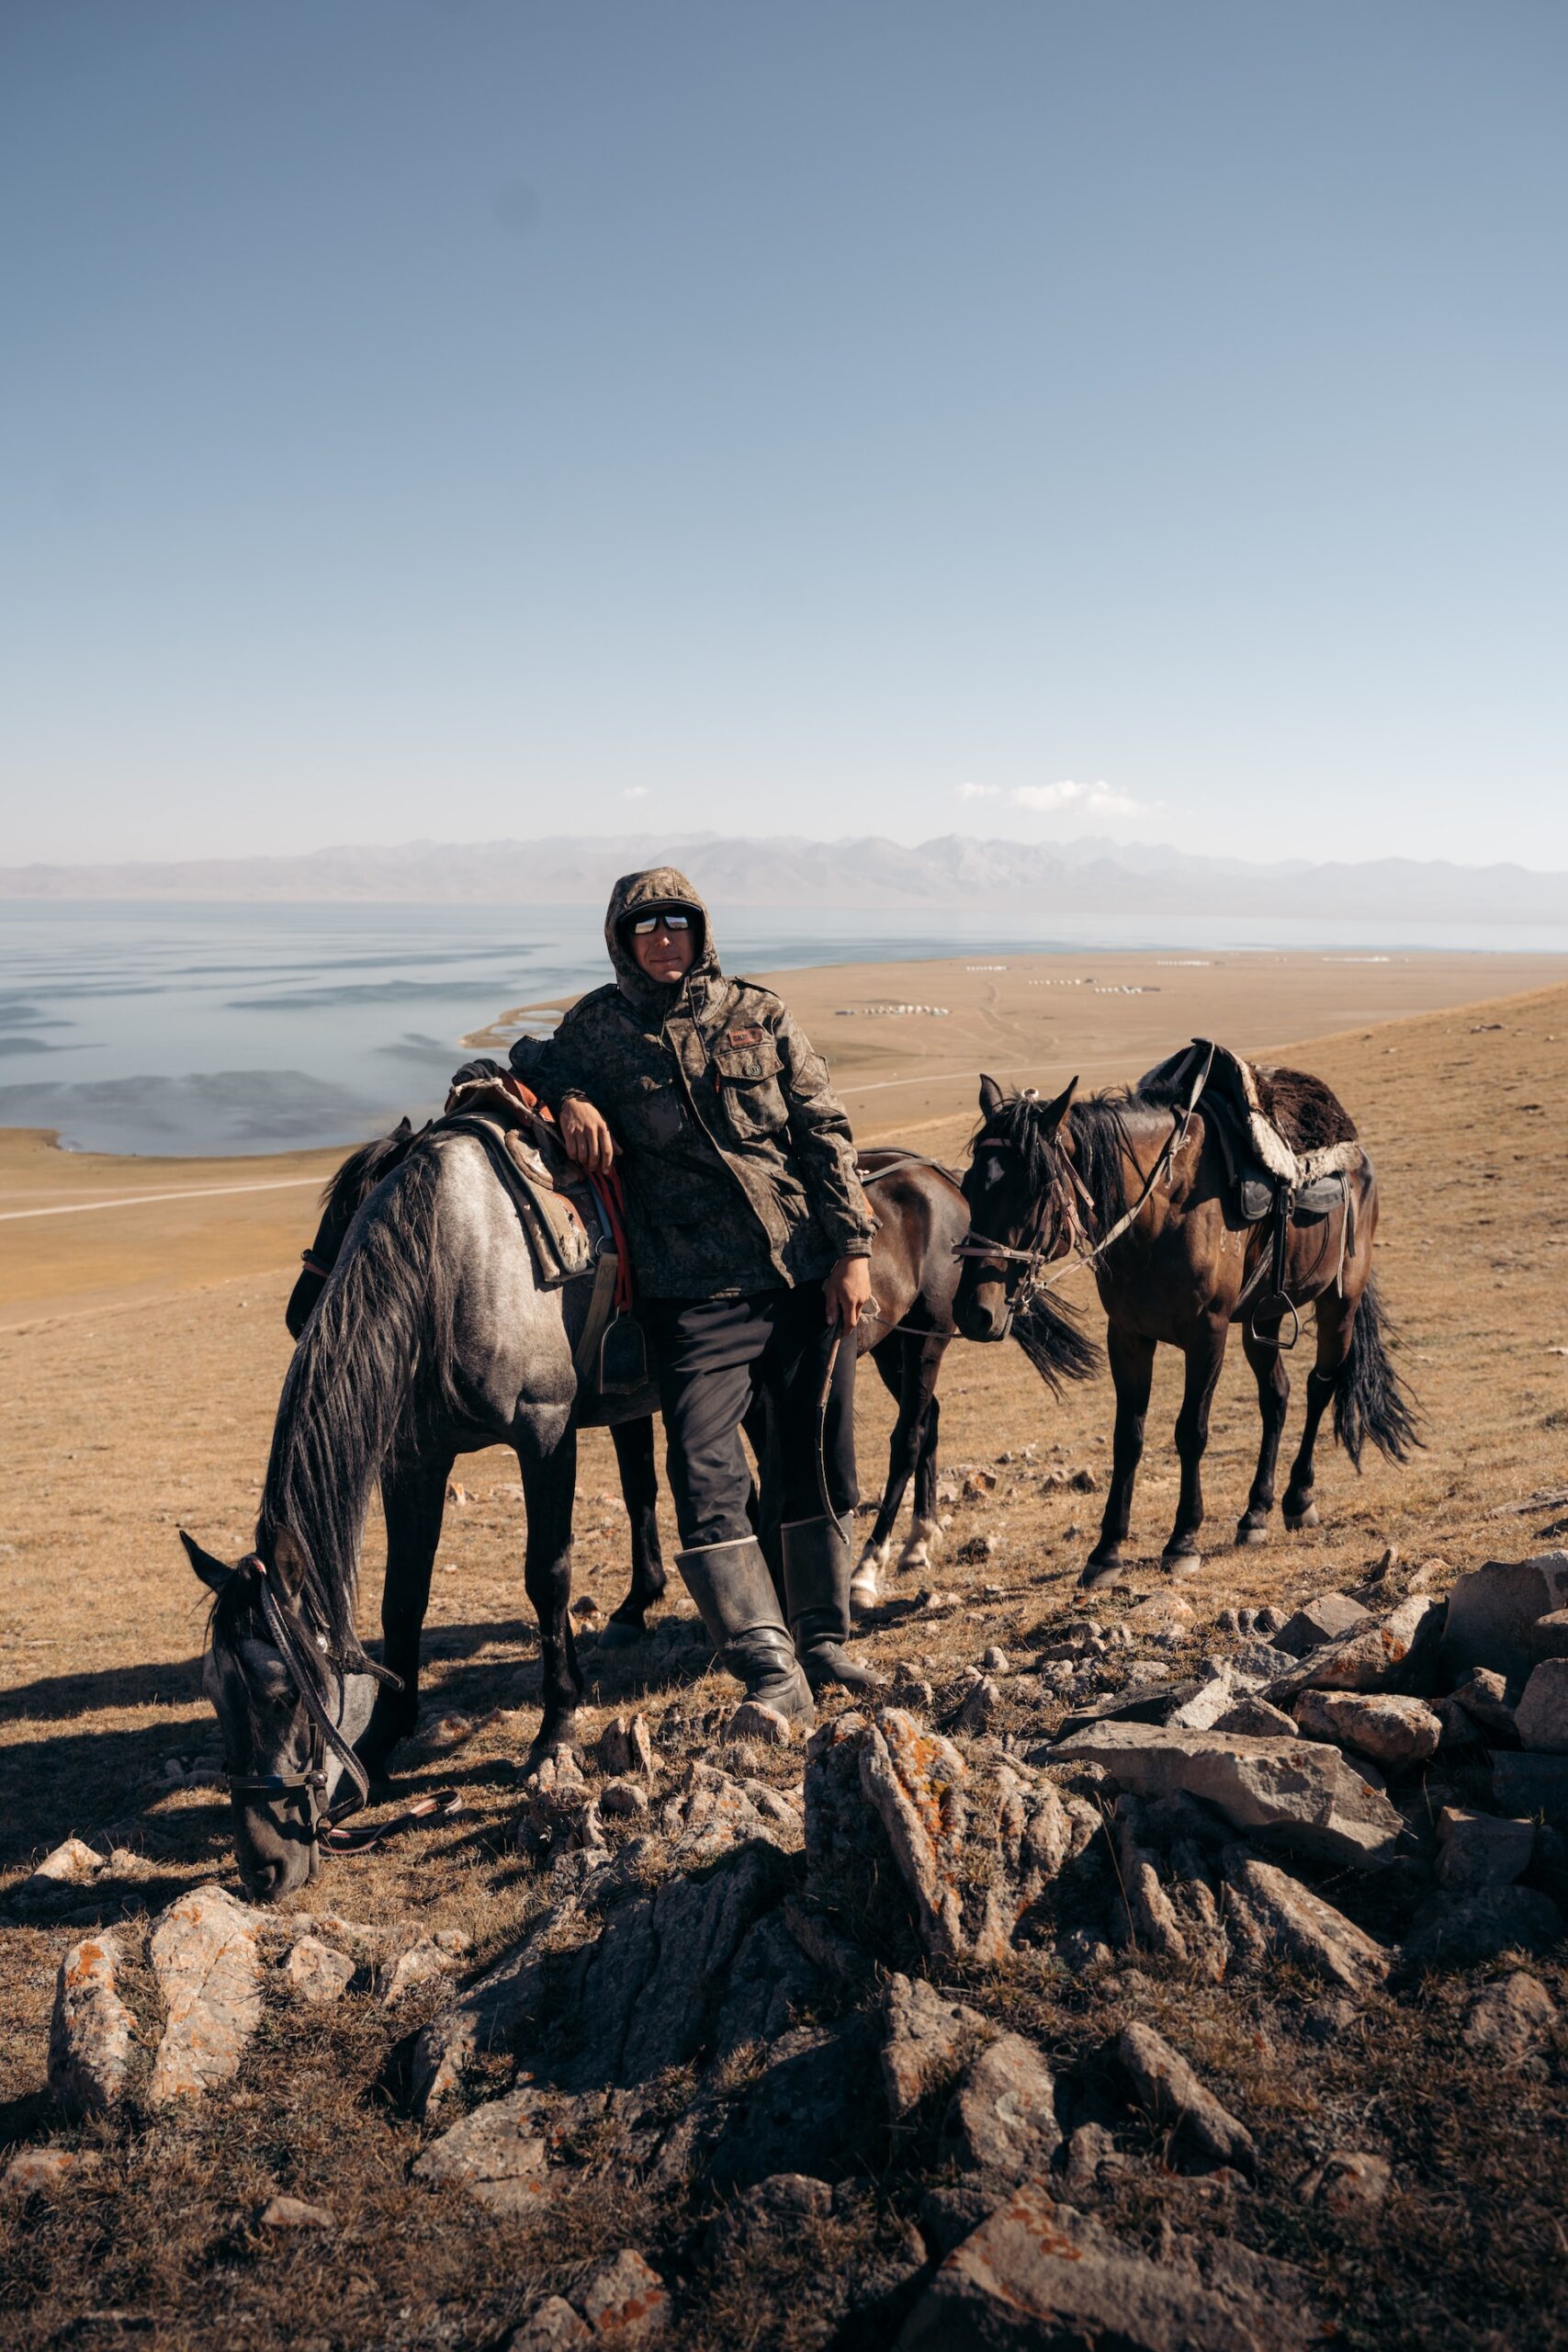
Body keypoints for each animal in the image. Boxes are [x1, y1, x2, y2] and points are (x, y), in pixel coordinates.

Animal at [952, 1061, 1418, 1590]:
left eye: (1031, 1190)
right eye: (968, 1186)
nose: (974, 1313)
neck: (1161, 1212)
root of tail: (1358, 1156)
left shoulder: (1207, 1333)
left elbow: (1190, 1431)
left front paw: (1182, 1542)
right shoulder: (1127, 1335)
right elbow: (1128, 1438)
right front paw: (1106, 1551)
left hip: (1339, 1302)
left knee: (1321, 1386)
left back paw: (1298, 1498)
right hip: (1263, 1316)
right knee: (1276, 1396)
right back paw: (1255, 1514)